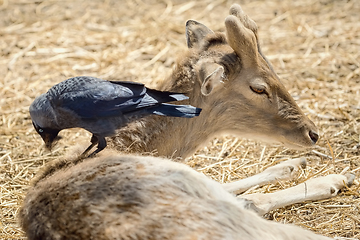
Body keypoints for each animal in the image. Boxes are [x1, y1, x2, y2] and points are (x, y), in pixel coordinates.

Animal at [19, 4, 354, 240]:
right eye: (259, 88)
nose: (312, 133)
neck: (131, 145)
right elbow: (251, 199)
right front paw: (333, 177)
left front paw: (293, 164)